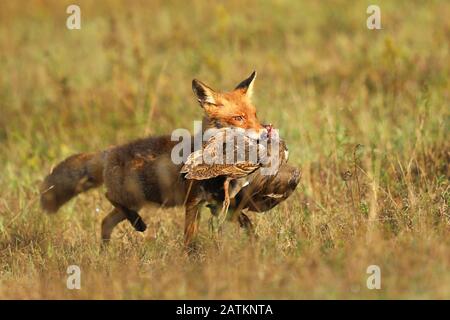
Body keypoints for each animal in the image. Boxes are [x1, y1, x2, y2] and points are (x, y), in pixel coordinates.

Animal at [38, 72, 298, 246]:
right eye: (238, 118)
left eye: (254, 115)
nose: (265, 132)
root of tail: (110, 150)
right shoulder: (194, 202)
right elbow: (190, 238)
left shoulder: (219, 201)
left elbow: (246, 223)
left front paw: (255, 244)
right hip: (133, 195)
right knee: (108, 198)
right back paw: (135, 225)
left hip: (137, 200)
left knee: (105, 221)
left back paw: (107, 249)